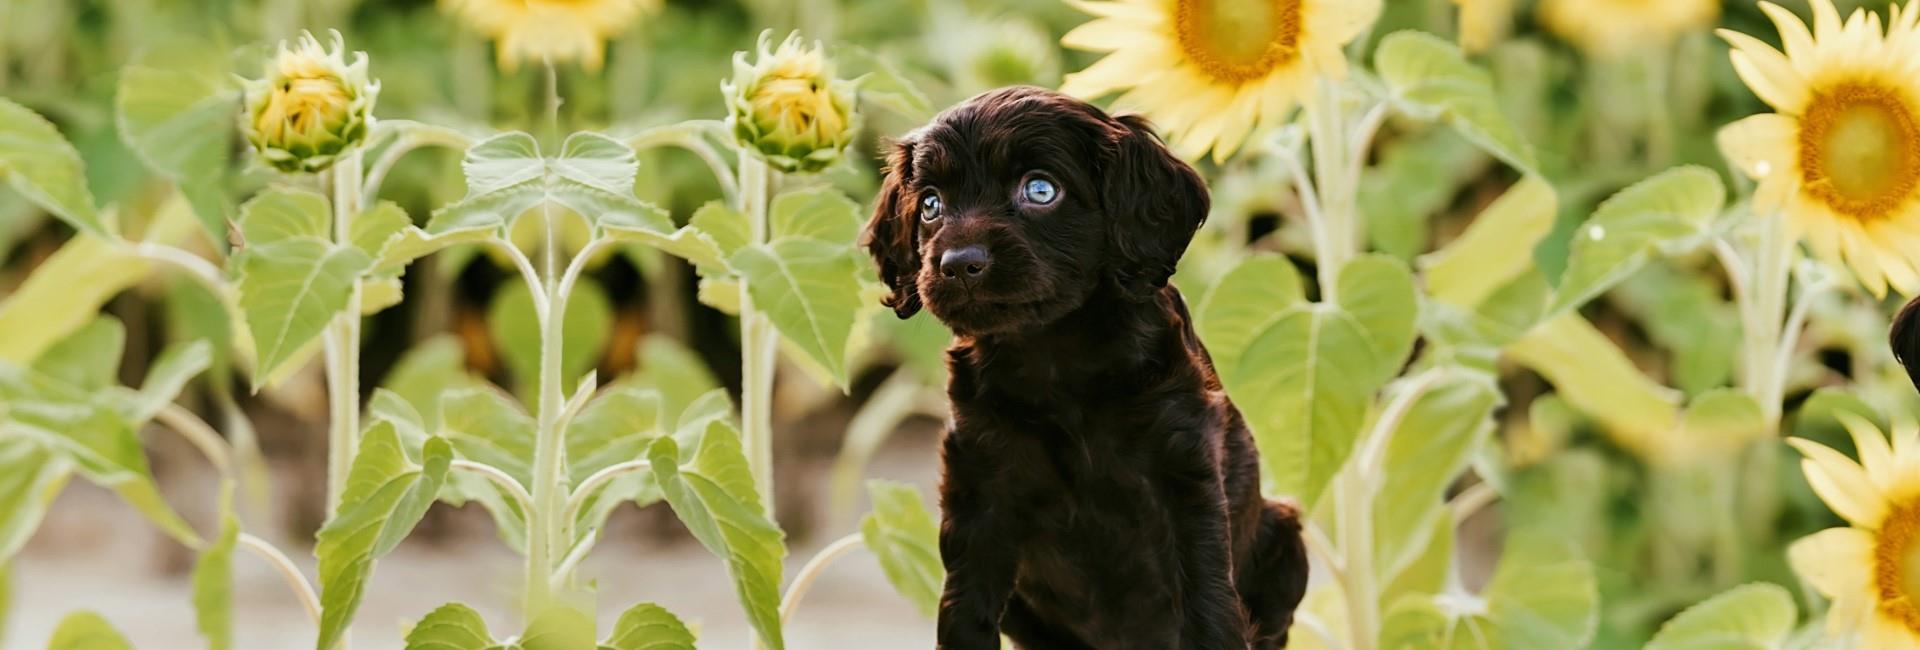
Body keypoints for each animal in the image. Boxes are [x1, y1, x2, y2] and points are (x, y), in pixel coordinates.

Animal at [867, 87, 1305, 650]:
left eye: (1040, 189)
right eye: (929, 205)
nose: (958, 264)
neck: (1055, 354)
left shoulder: (1185, 473)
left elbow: (1208, 600)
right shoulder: (978, 486)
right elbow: (964, 606)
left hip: (1285, 535)